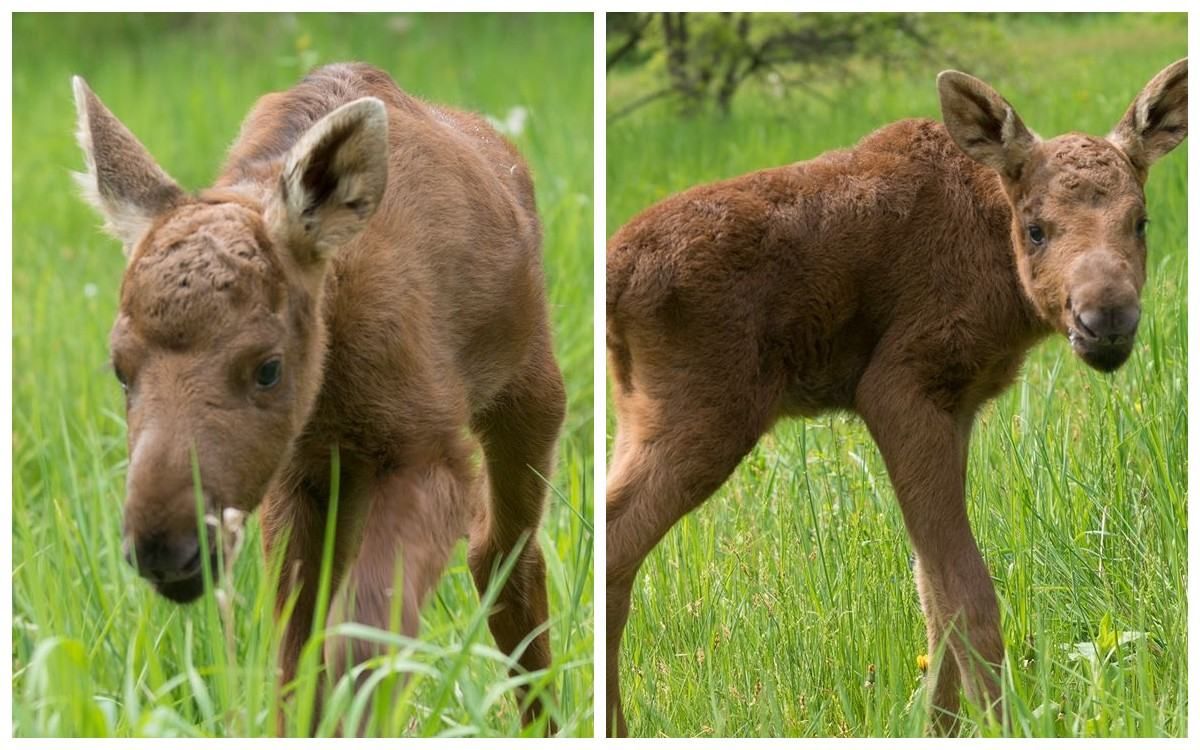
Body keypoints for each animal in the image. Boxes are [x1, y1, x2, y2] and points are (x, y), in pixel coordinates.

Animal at [75, 63, 566, 729]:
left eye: (268, 368)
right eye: (121, 369)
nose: (164, 547)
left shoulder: (431, 451)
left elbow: (359, 642)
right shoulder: (298, 476)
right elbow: (296, 658)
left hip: (529, 389)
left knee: (503, 556)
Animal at [604, 60, 1185, 739]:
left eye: (1140, 221)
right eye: (1036, 229)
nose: (1107, 319)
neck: (999, 270)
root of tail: (614, 274)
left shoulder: (957, 405)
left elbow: (932, 593)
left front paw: (940, 724)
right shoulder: (900, 385)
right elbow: (966, 592)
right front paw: (997, 723)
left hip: (641, 413)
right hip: (706, 412)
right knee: (613, 548)